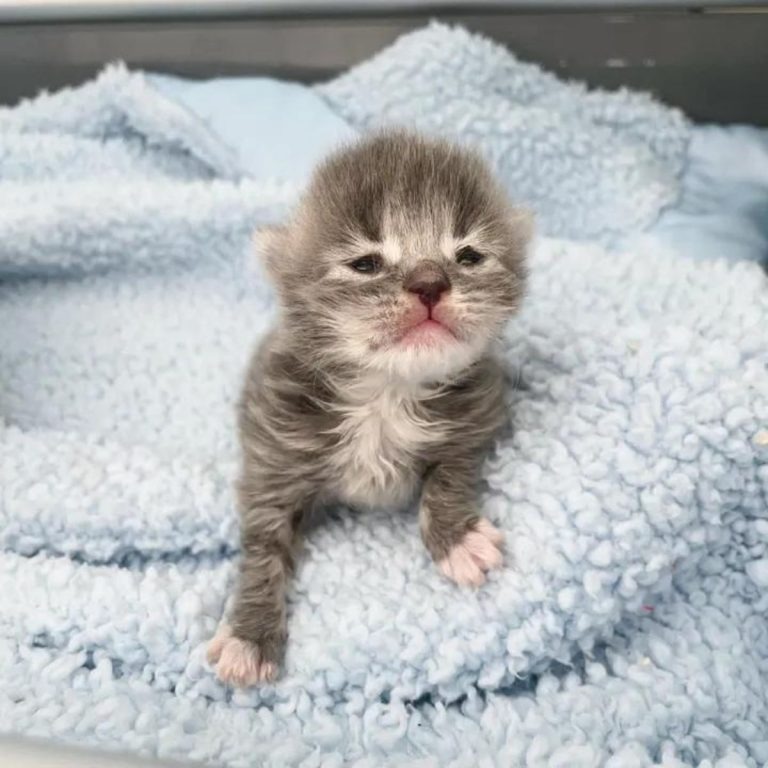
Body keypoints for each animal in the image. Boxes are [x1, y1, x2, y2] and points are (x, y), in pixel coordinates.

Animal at [206, 129, 528, 688]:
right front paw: (249, 634)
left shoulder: (476, 417)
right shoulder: (275, 454)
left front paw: (458, 539)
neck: (386, 394)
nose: (429, 283)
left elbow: (450, 475)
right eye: (366, 263)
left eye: (468, 255)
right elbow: (262, 546)